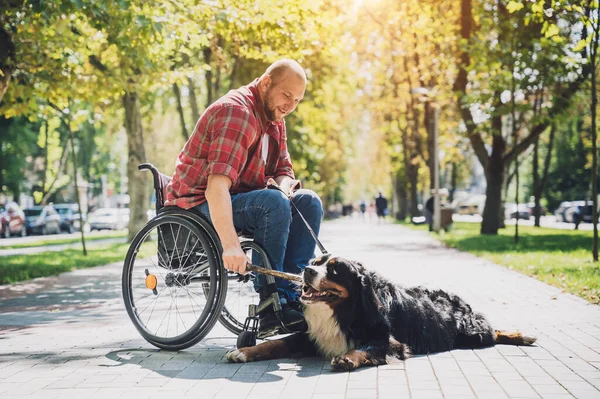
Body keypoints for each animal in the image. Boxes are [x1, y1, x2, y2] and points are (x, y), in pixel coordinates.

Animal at [225, 256, 536, 372]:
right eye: (316, 262)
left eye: (335, 270)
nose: (307, 270)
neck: (344, 312)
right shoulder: (312, 336)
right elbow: (277, 343)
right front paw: (244, 352)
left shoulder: (390, 341)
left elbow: (367, 347)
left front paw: (346, 358)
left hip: (473, 333)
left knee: (493, 331)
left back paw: (523, 336)